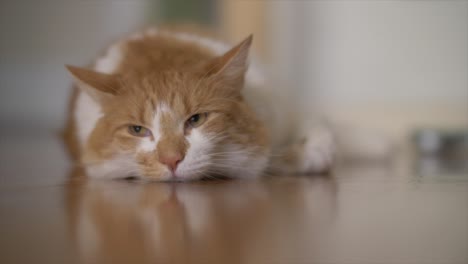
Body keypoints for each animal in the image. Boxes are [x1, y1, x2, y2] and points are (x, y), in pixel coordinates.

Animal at [63, 25, 392, 180]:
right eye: (137, 130)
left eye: (196, 119)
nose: (171, 160)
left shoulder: (283, 108)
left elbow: (321, 132)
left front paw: (304, 155)